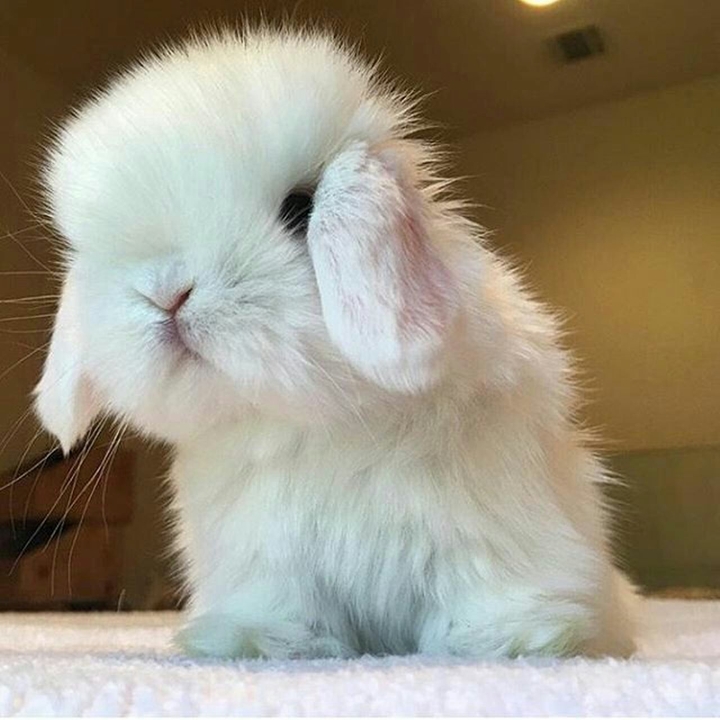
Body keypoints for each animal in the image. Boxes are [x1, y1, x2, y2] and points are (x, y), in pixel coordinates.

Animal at [34, 28, 636, 660]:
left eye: (300, 209)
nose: (167, 294)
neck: (320, 420)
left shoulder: (488, 530)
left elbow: (487, 587)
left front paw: (509, 644)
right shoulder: (267, 561)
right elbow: (282, 608)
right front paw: (254, 642)